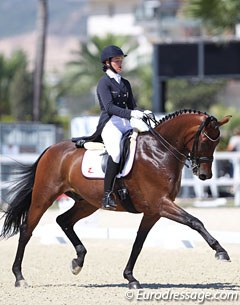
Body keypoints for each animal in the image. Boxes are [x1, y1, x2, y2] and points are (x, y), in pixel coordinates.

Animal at [0, 108, 232, 288]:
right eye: (205, 140)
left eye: (218, 141)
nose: (204, 175)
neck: (160, 151)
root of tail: (51, 148)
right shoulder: (161, 204)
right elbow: (195, 221)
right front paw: (220, 251)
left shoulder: (153, 211)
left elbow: (138, 243)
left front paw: (130, 278)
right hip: (44, 196)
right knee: (27, 230)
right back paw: (19, 277)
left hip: (87, 203)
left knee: (63, 220)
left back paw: (78, 261)